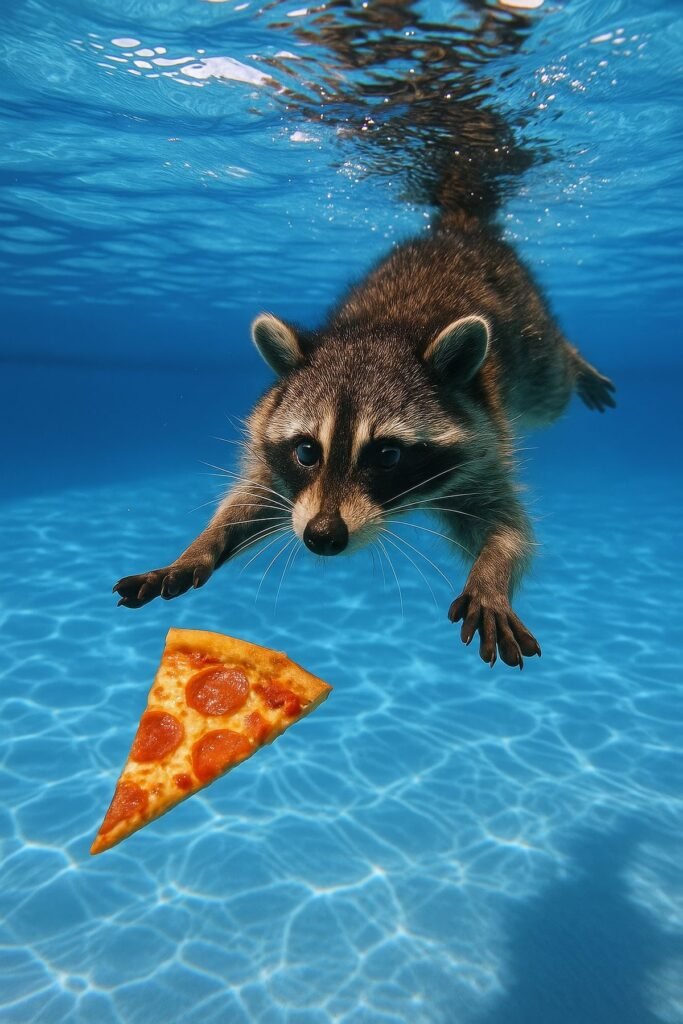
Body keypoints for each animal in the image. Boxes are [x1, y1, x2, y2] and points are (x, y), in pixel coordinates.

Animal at [114, 206, 615, 668]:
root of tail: (460, 228)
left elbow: (510, 527)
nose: (322, 536)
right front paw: (197, 549)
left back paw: (577, 361)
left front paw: (492, 573)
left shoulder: (483, 454)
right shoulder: (280, 468)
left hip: (534, 357)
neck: (379, 332)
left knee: (553, 381)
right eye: (306, 451)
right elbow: (253, 501)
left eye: (387, 456)